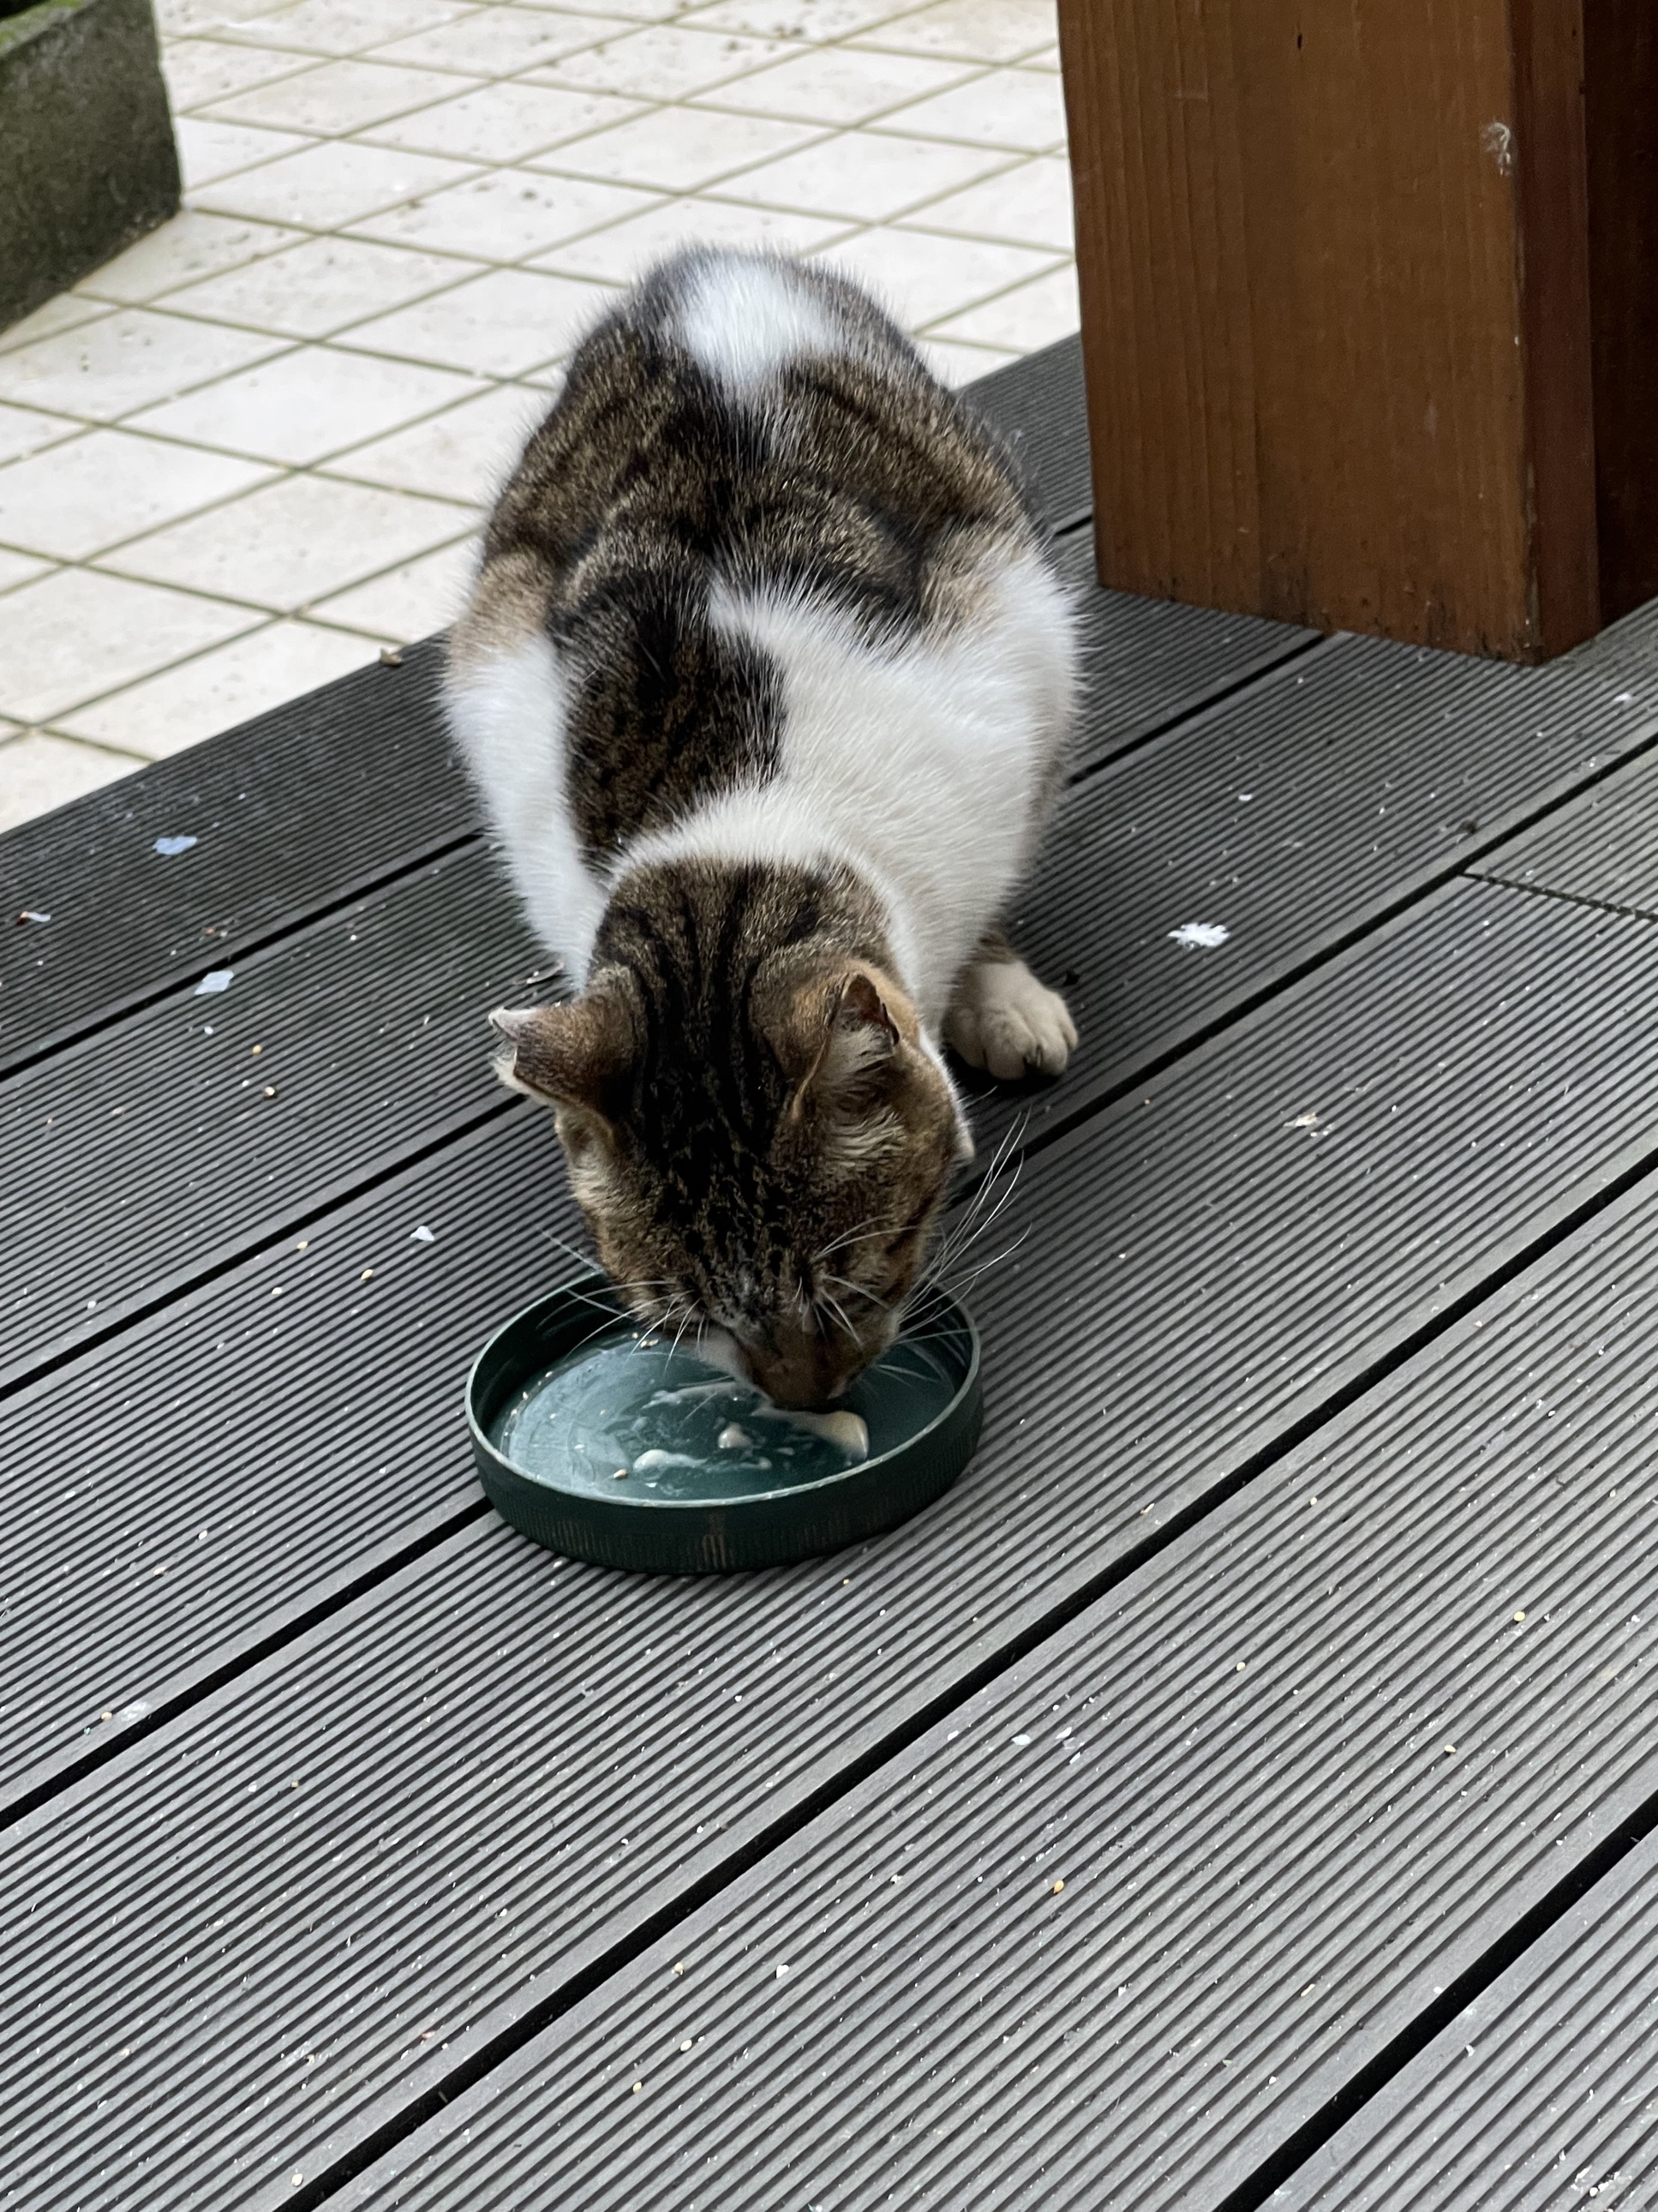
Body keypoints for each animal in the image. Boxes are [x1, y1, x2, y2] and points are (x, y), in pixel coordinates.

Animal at [449, 247, 1078, 1407]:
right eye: (687, 1318)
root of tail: (708, 266)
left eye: (852, 1275)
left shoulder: (1008, 701)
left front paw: (993, 991)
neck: (734, 804)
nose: (805, 1397)